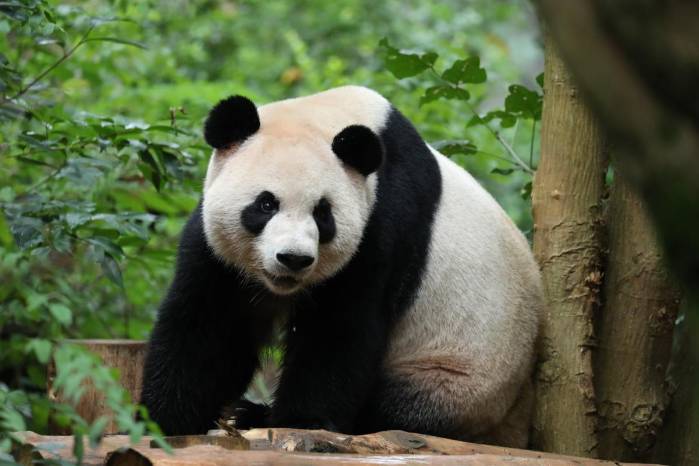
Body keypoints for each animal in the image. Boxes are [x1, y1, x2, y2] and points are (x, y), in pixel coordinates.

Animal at [140, 85, 542, 448]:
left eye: (323, 214)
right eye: (266, 204)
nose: (293, 258)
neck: (323, 118)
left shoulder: (383, 221)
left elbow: (339, 330)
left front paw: (301, 422)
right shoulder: (218, 248)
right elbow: (210, 326)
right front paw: (163, 419)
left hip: (457, 378)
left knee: (398, 409)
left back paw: (255, 414)